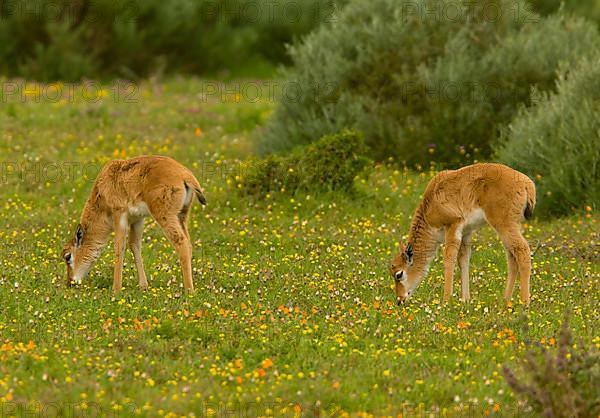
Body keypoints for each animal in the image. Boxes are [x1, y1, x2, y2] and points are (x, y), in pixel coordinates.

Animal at [61, 155, 206, 292]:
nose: (70, 282)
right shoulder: (138, 220)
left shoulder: (119, 215)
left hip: (165, 216)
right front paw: (143, 286)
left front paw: (116, 289)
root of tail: (185, 175)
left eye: (67, 256)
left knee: (181, 243)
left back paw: (189, 290)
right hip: (181, 216)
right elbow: (134, 245)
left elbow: (119, 247)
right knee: (189, 243)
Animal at [392, 162, 536, 304]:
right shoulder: (466, 233)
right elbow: (463, 259)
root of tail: (526, 183)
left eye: (399, 274)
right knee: (512, 257)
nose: (399, 300)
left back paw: (524, 302)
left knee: (522, 250)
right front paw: (465, 299)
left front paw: (446, 300)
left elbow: (449, 259)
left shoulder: (452, 226)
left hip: (504, 226)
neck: (430, 203)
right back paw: (505, 300)